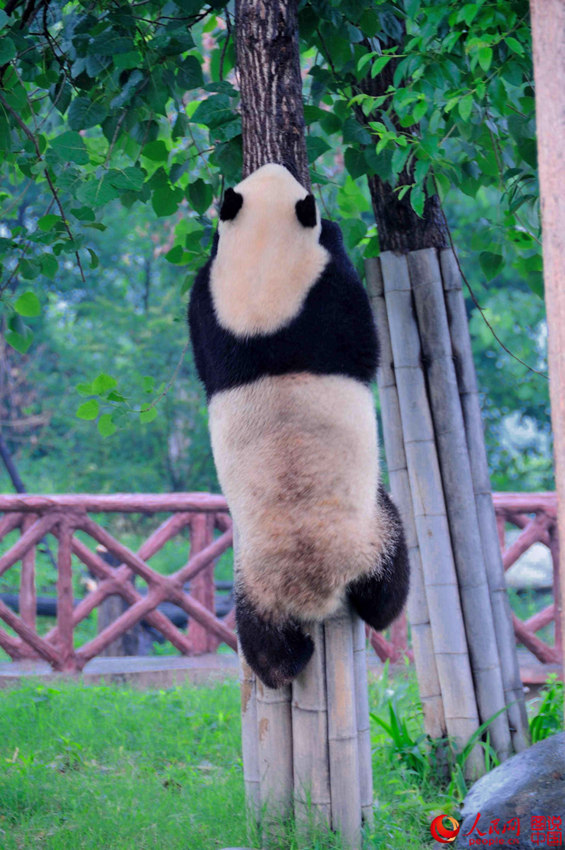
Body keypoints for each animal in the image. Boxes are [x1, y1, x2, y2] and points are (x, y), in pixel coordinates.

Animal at [187, 162, 408, 684]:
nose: (275, 163)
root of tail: (313, 590)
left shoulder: (213, 315)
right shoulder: (320, 301)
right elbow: (361, 337)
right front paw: (337, 232)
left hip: (251, 579)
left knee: (260, 636)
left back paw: (281, 663)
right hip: (369, 532)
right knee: (387, 584)